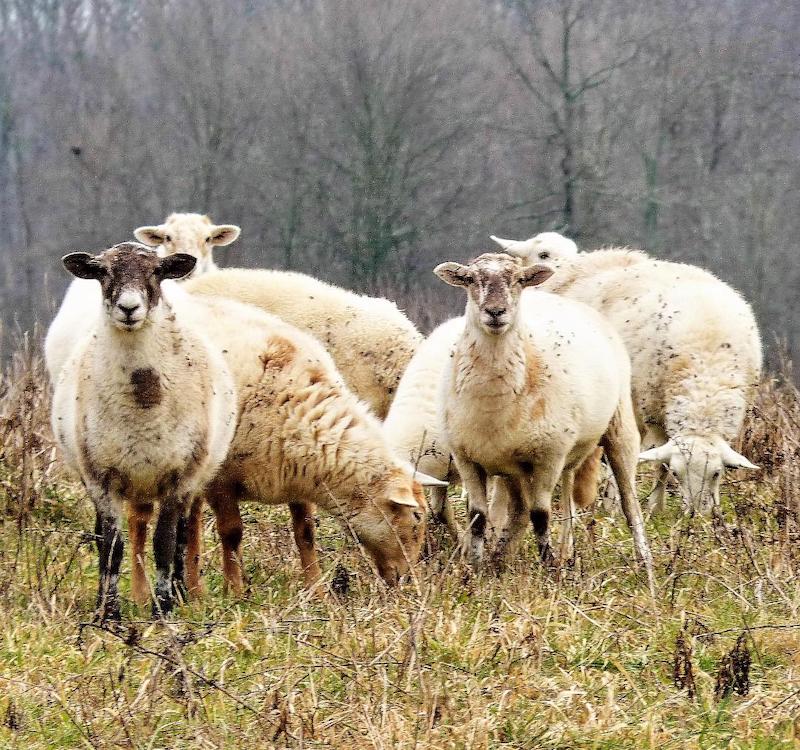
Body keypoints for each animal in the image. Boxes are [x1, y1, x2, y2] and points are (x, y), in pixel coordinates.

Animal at [50, 243, 238, 619]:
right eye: (103, 271)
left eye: (157, 272)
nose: (128, 308)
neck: (143, 402)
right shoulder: (100, 477)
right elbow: (111, 546)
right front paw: (109, 613)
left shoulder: (178, 477)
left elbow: (164, 543)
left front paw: (162, 610)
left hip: (193, 477)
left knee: (183, 535)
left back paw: (180, 592)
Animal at [153, 292, 444, 592]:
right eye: (416, 517)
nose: (407, 580)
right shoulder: (221, 482)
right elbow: (231, 533)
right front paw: (235, 590)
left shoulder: (297, 472)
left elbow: (305, 532)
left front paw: (316, 590)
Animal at [434, 253, 654, 590]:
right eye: (470, 279)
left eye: (519, 280)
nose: (495, 312)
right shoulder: (467, 458)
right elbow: (478, 518)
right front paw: (474, 572)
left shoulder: (548, 456)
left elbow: (541, 516)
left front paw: (550, 572)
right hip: (525, 464)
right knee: (535, 509)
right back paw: (514, 559)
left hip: (619, 429)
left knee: (630, 505)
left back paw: (645, 566)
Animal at [494, 233, 762, 514]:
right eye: (678, 473)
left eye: (717, 474)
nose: (696, 514)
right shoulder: (652, 414)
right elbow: (659, 465)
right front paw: (655, 508)